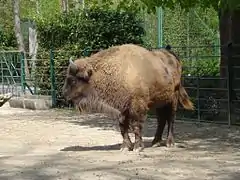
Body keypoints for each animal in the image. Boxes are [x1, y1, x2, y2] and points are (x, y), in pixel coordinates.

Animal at [62, 43, 193, 152]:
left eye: (73, 80)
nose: (64, 94)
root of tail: (172, 56)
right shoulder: (121, 109)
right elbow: (122, 126)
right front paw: (125, 147)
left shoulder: (137, 106)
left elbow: (136, 125)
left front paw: (137, 147)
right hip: (160, 102)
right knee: (161, 120)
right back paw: (155, 142)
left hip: (172, 100)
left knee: (171, 119)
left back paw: (170, 143)